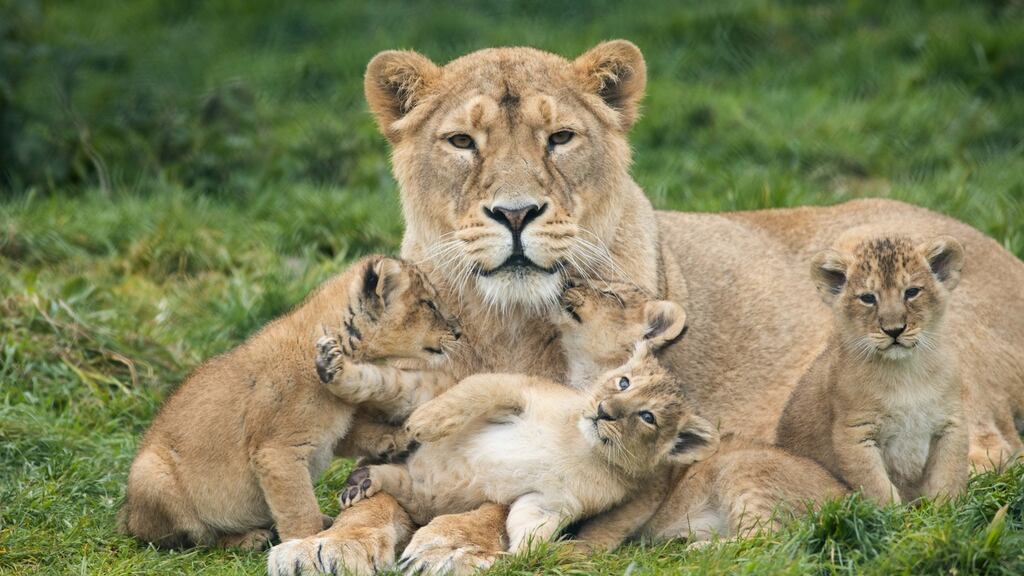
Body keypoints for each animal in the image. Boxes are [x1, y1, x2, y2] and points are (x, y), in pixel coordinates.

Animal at [119, 256, 459, 549]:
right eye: (428, 303)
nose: (457, 332)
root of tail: (127, 517)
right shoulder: (277, 450)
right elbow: (298, 506)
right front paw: (305, 545)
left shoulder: (335, 430)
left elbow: (364, 433)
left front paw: (399, 438)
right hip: (152, 474)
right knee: (197, 539)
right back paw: (251, 538)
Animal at [777, 235, 968, 505]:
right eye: (868, 298)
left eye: (911, 292)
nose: (894, 330)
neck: (905, 372)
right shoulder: (855, 433)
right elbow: (878, 488)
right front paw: (898, 516)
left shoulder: (951, 423)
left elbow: (948, 479)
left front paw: (944, 511)